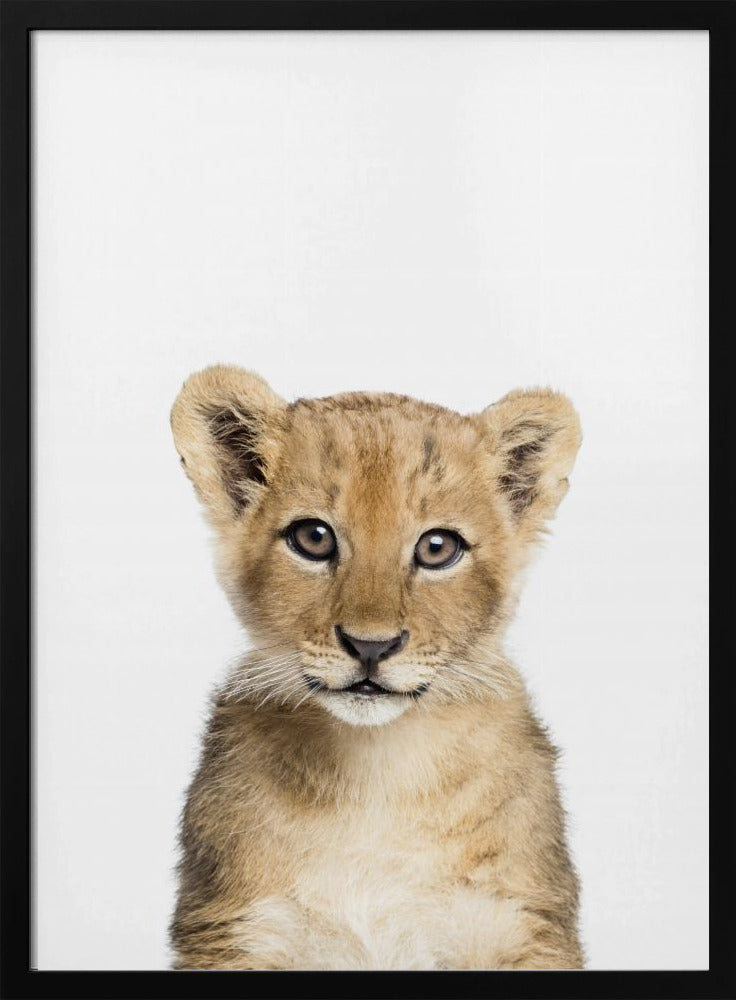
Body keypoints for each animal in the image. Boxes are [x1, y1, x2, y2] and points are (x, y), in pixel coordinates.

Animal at [169, 364, 584, 970]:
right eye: (313, 538)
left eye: (437, 547)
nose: (370, 647)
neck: (377, 774)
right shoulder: (234, 929)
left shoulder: (525, 925)